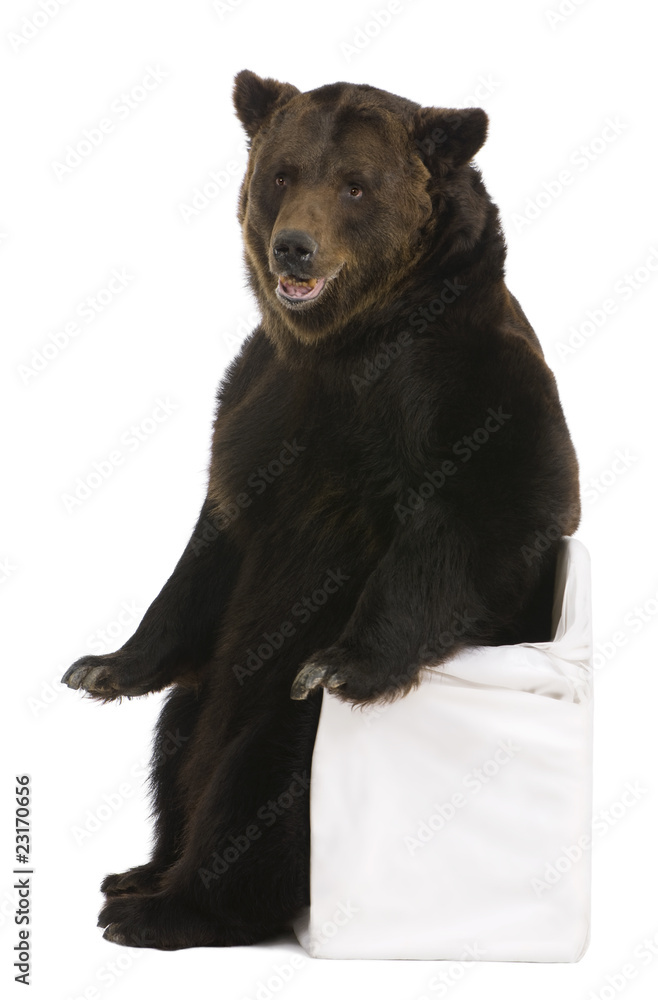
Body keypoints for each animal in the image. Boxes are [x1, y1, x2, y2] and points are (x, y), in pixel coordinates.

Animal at [62, 69, 581, 950]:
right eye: (281, 175)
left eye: (355, 185)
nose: (293, 248)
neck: (344, 343)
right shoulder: (260, 401)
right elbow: (212, 540)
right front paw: (101, 665)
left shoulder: (462, 383)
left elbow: (495, 507)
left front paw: (343, 660)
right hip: (211, 684)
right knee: (177, 740)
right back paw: (138, 871)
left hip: (283, 724)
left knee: (265, 782)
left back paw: (165, 907)